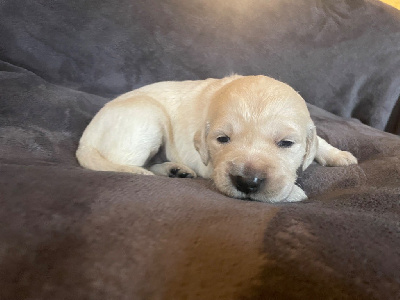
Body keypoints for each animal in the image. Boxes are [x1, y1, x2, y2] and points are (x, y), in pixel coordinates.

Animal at [76, 74, 358, 203]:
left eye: (286, 143)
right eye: (222, 139)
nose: (248, 182)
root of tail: (84, 141)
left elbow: (319, 140)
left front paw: (339, 154)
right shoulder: (209, 164)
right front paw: (294, 193)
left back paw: (174, 170)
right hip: (147, 117)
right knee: (129, 164)